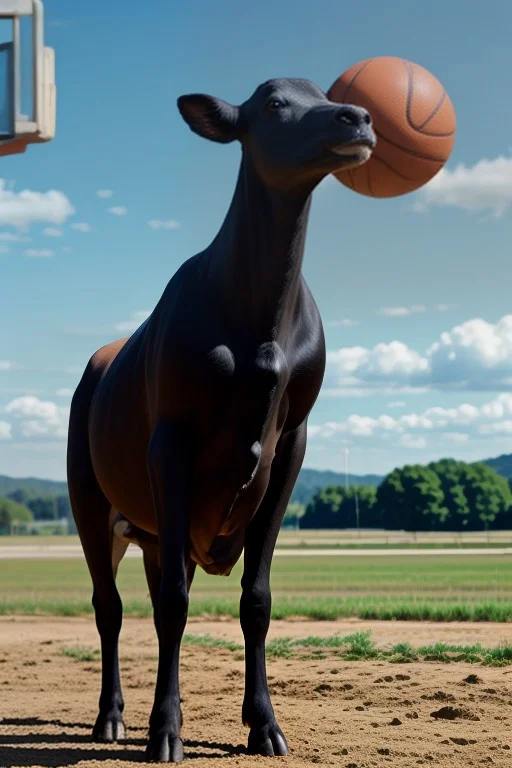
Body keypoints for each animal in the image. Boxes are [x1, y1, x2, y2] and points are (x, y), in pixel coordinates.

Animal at [67, 77, 375, 762]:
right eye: (274, 104)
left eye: (324, 91)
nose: (360, 117)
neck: (260, 321)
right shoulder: (171, 441)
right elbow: (172, 608)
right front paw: (165, 731)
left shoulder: (292, 443)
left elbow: (254, 600)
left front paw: (264, 724)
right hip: (90, 500)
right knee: (111, 606)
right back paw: (113, 716)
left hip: (159, 533)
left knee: (156, 589)